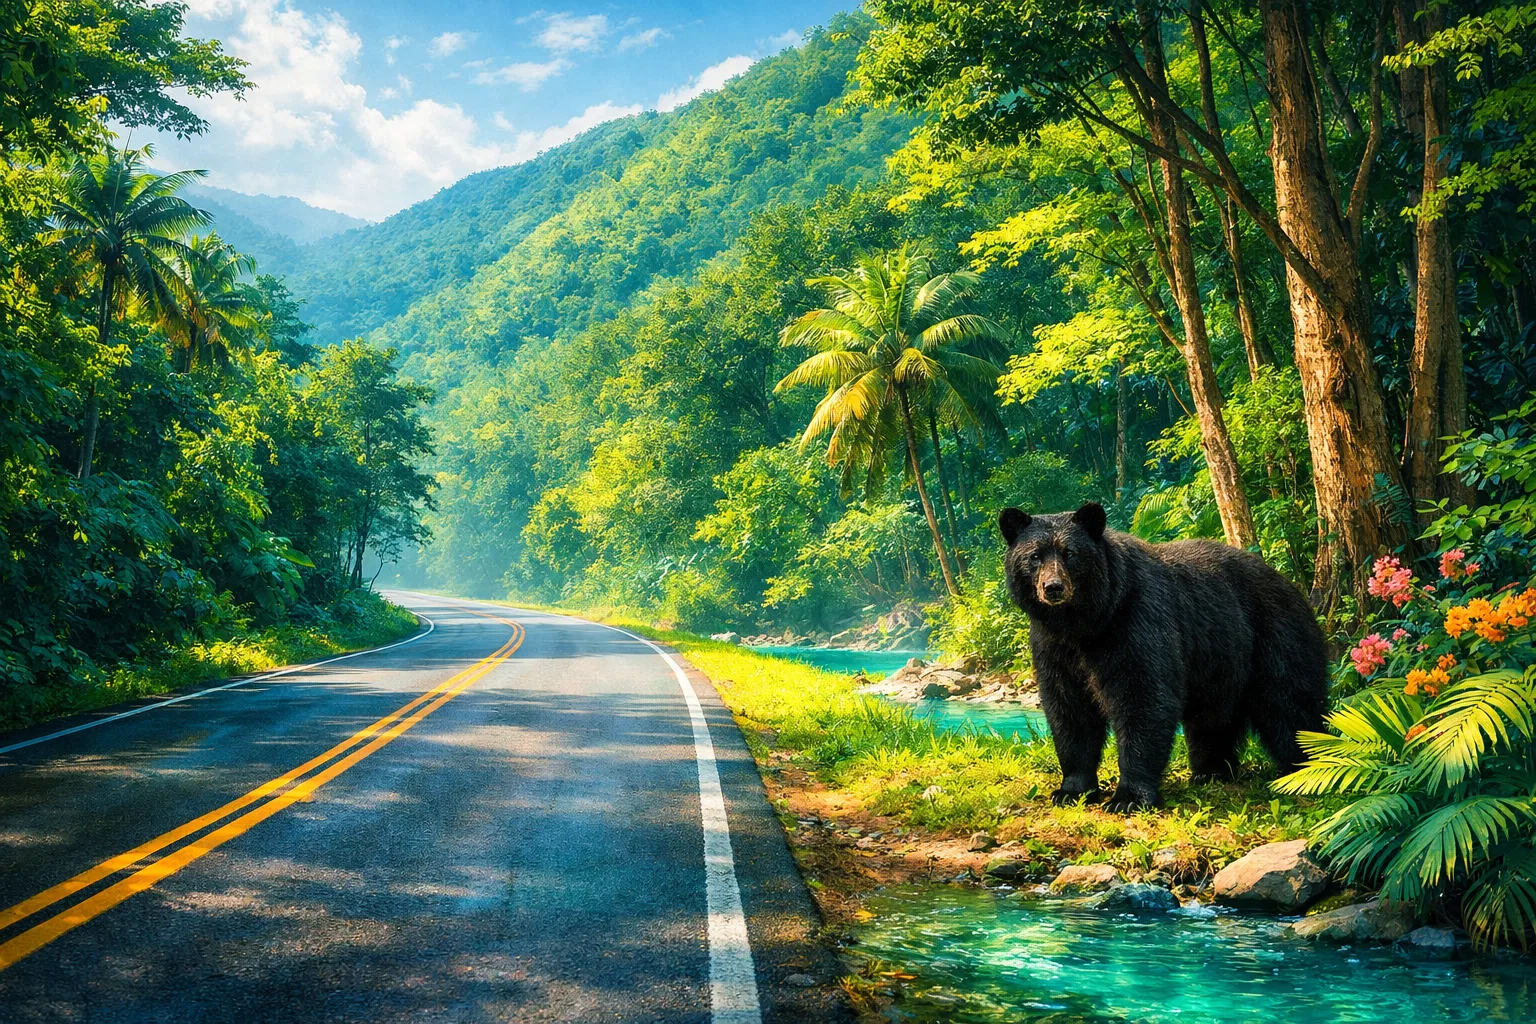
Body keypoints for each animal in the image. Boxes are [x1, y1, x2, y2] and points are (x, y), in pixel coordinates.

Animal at [999, 502, 1329, 812]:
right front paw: (1071, 790)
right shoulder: (1054, 646)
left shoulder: (1137, 620)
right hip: (1224, 657)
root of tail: (1293, 587)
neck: (1085, 622)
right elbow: (1069, 709)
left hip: (1274, 635)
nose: (1053, 587)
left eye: (1070, 553)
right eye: (1034, 556)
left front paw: (1129, 797)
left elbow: (1142, 696)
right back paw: (1211, 771)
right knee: (1214, 720)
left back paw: (1302, 768)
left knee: (1289, 705)